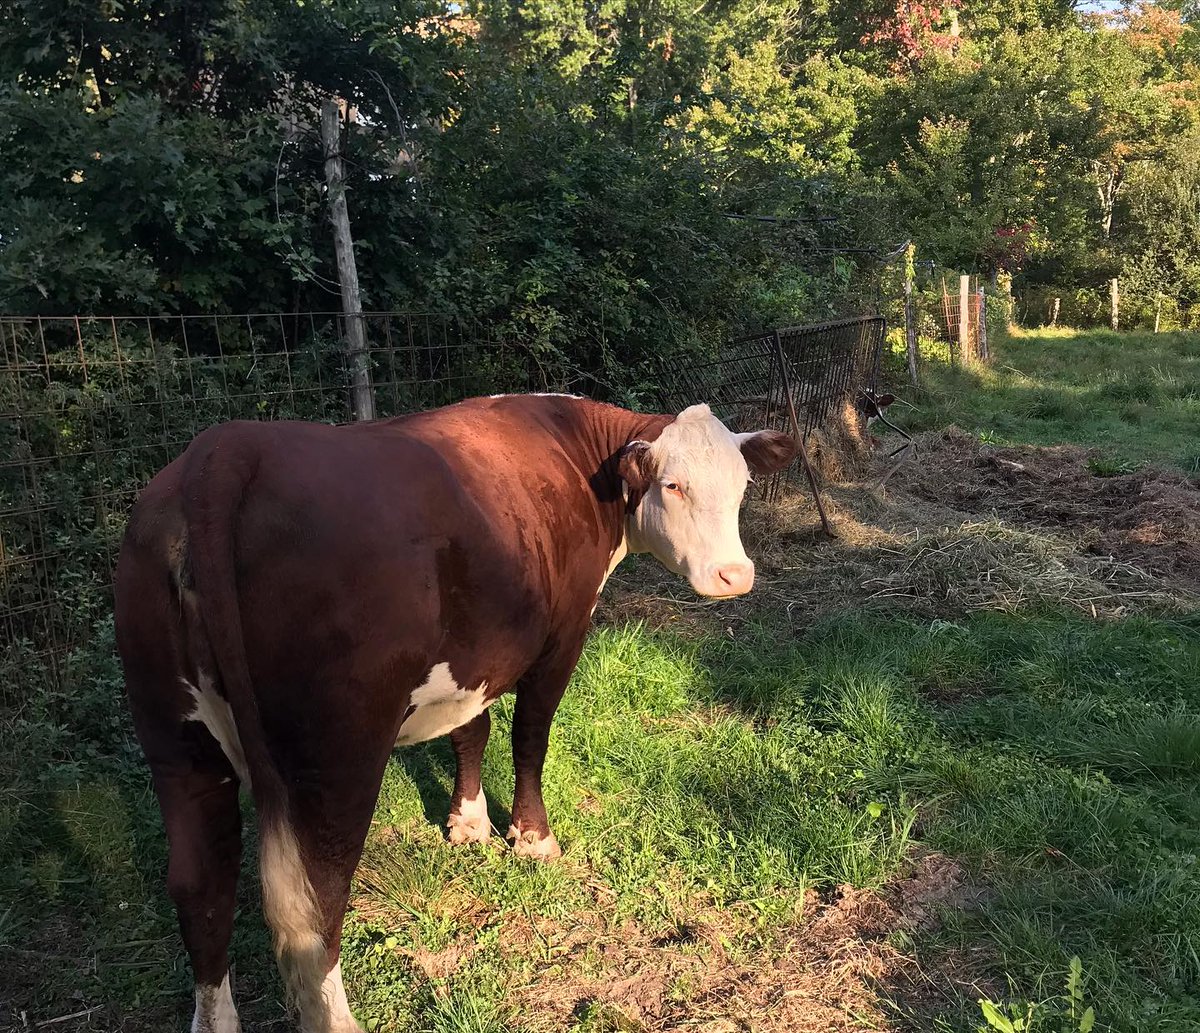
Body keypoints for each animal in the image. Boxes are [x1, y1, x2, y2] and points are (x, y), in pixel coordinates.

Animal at [114, 394, 796, 1033]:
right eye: (674, 485)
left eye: (742, 487)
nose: (734, 575)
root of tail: (222, 453)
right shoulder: (563, 636)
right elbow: (530, 736)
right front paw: (533, 840)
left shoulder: (478, 652)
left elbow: (472, 728)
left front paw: (468, 822)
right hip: (335, 753)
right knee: (314, 900)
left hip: (175, 738)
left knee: (202, 887)